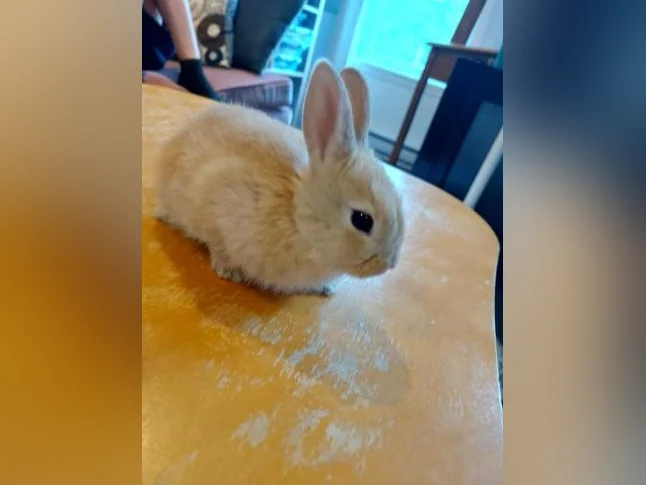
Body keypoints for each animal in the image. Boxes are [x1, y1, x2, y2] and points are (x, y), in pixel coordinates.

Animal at [155, 59, 405, 296]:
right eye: (362, 219)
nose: (388, 264)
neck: (297, 215)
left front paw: (326, 288)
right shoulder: (217, 200)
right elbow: (218, 243)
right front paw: (229, 270)